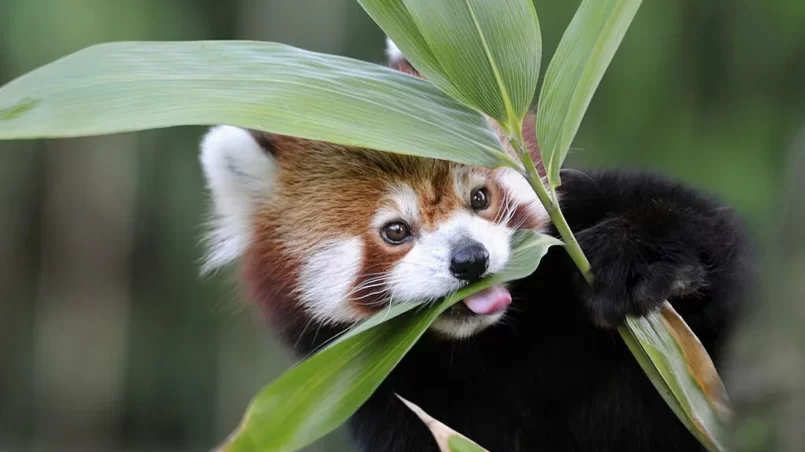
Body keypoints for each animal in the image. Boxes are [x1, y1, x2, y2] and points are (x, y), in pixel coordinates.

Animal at [198, 38, 752, 452]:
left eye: (480, 197)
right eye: (395, 231)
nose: (470, 259)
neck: (493, 348)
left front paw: (635, 259)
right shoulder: (389, 406)